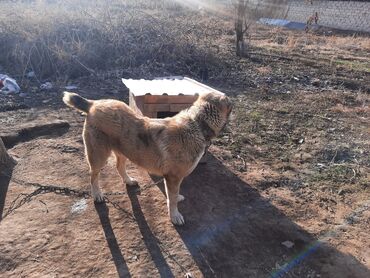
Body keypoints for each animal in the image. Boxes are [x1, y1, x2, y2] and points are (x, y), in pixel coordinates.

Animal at [62, 92, 231, 225]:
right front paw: (174, 215)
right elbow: (172, 198)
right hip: (99, 155)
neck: (198, 124)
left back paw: (129, 181)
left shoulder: (174, 178)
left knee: (119, 167)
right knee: (93, 175)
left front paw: (177, 199)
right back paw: (97, 194)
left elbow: (174, 195)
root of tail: (93, 104)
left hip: (124, 150)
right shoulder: (172, 177)